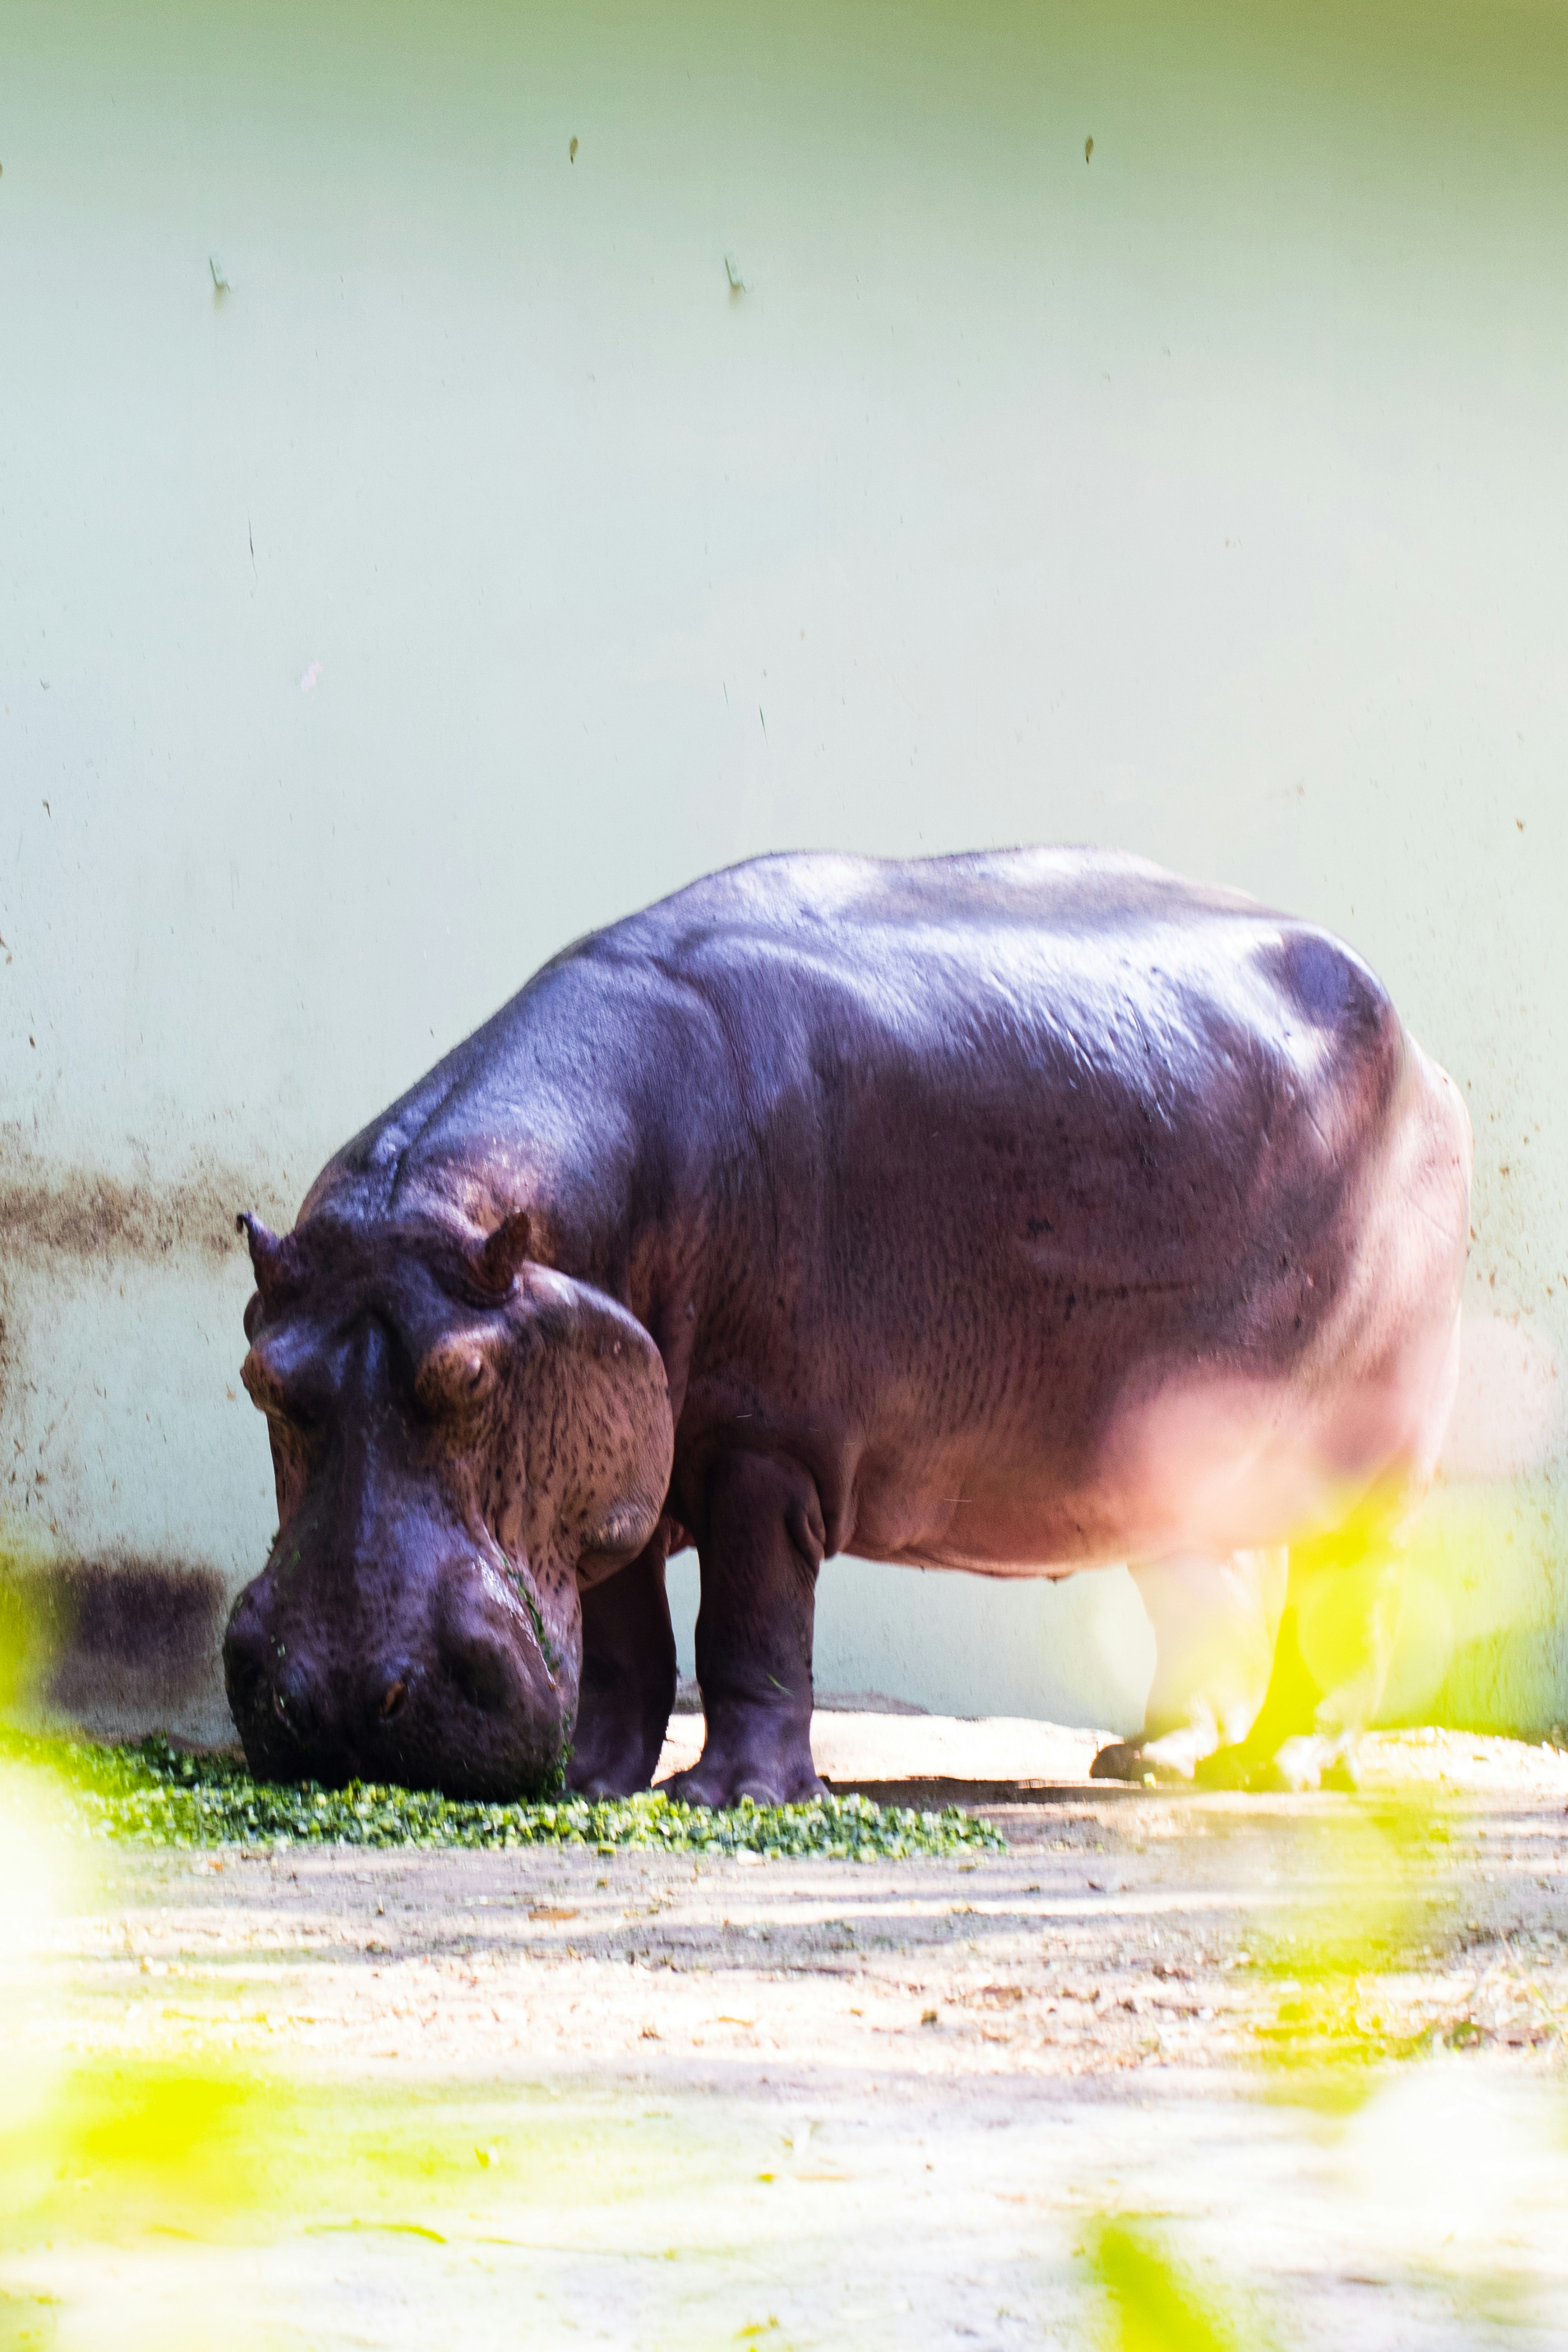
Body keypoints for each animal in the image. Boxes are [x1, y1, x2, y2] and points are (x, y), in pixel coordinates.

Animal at [224, 848, 1471, 1803]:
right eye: (264, 1380)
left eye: (471, 1379)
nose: (344, 1708)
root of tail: (1423, 1054)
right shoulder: (615, 1454)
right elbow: (623, 1642)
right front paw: (590, 1785)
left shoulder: (766, 1449)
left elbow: (751, 1626)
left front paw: (729, 1799)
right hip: (1155, 1454)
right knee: (1203, 1589)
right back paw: (1150, 1763)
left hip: (1370, 1442)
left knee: (1347, 1597)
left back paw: (1283, 1771)